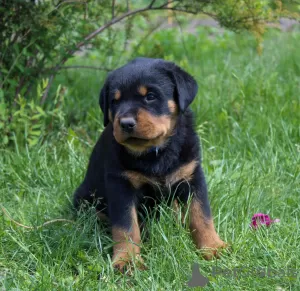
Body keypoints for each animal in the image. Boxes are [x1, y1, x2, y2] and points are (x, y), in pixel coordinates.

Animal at [74, 58, 226, 272]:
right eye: (115, 101)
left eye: (151, 96)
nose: (125, 123)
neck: (155, 152)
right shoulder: (121, 185)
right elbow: (126, 227)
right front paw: (127, 260)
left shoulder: (192, 176)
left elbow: (201, 215)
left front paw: (213, 247)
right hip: (87, 201)